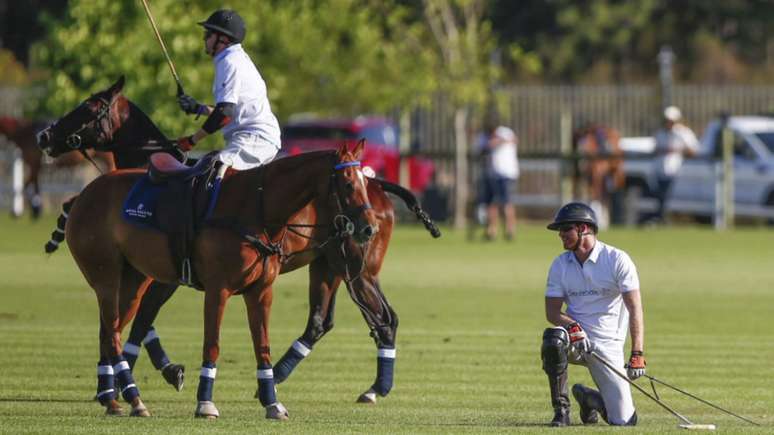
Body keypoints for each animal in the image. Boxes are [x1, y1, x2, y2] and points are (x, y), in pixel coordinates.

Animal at [38, 76, 442, 418]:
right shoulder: (186, 281)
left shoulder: (177, 281)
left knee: (381, 320)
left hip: (353, 266)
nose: (43, 135)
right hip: (332, 265)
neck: (256, 205)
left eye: (89, 107)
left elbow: (150, 327)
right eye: (345, 182)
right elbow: (159, 329)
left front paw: (164, 377)